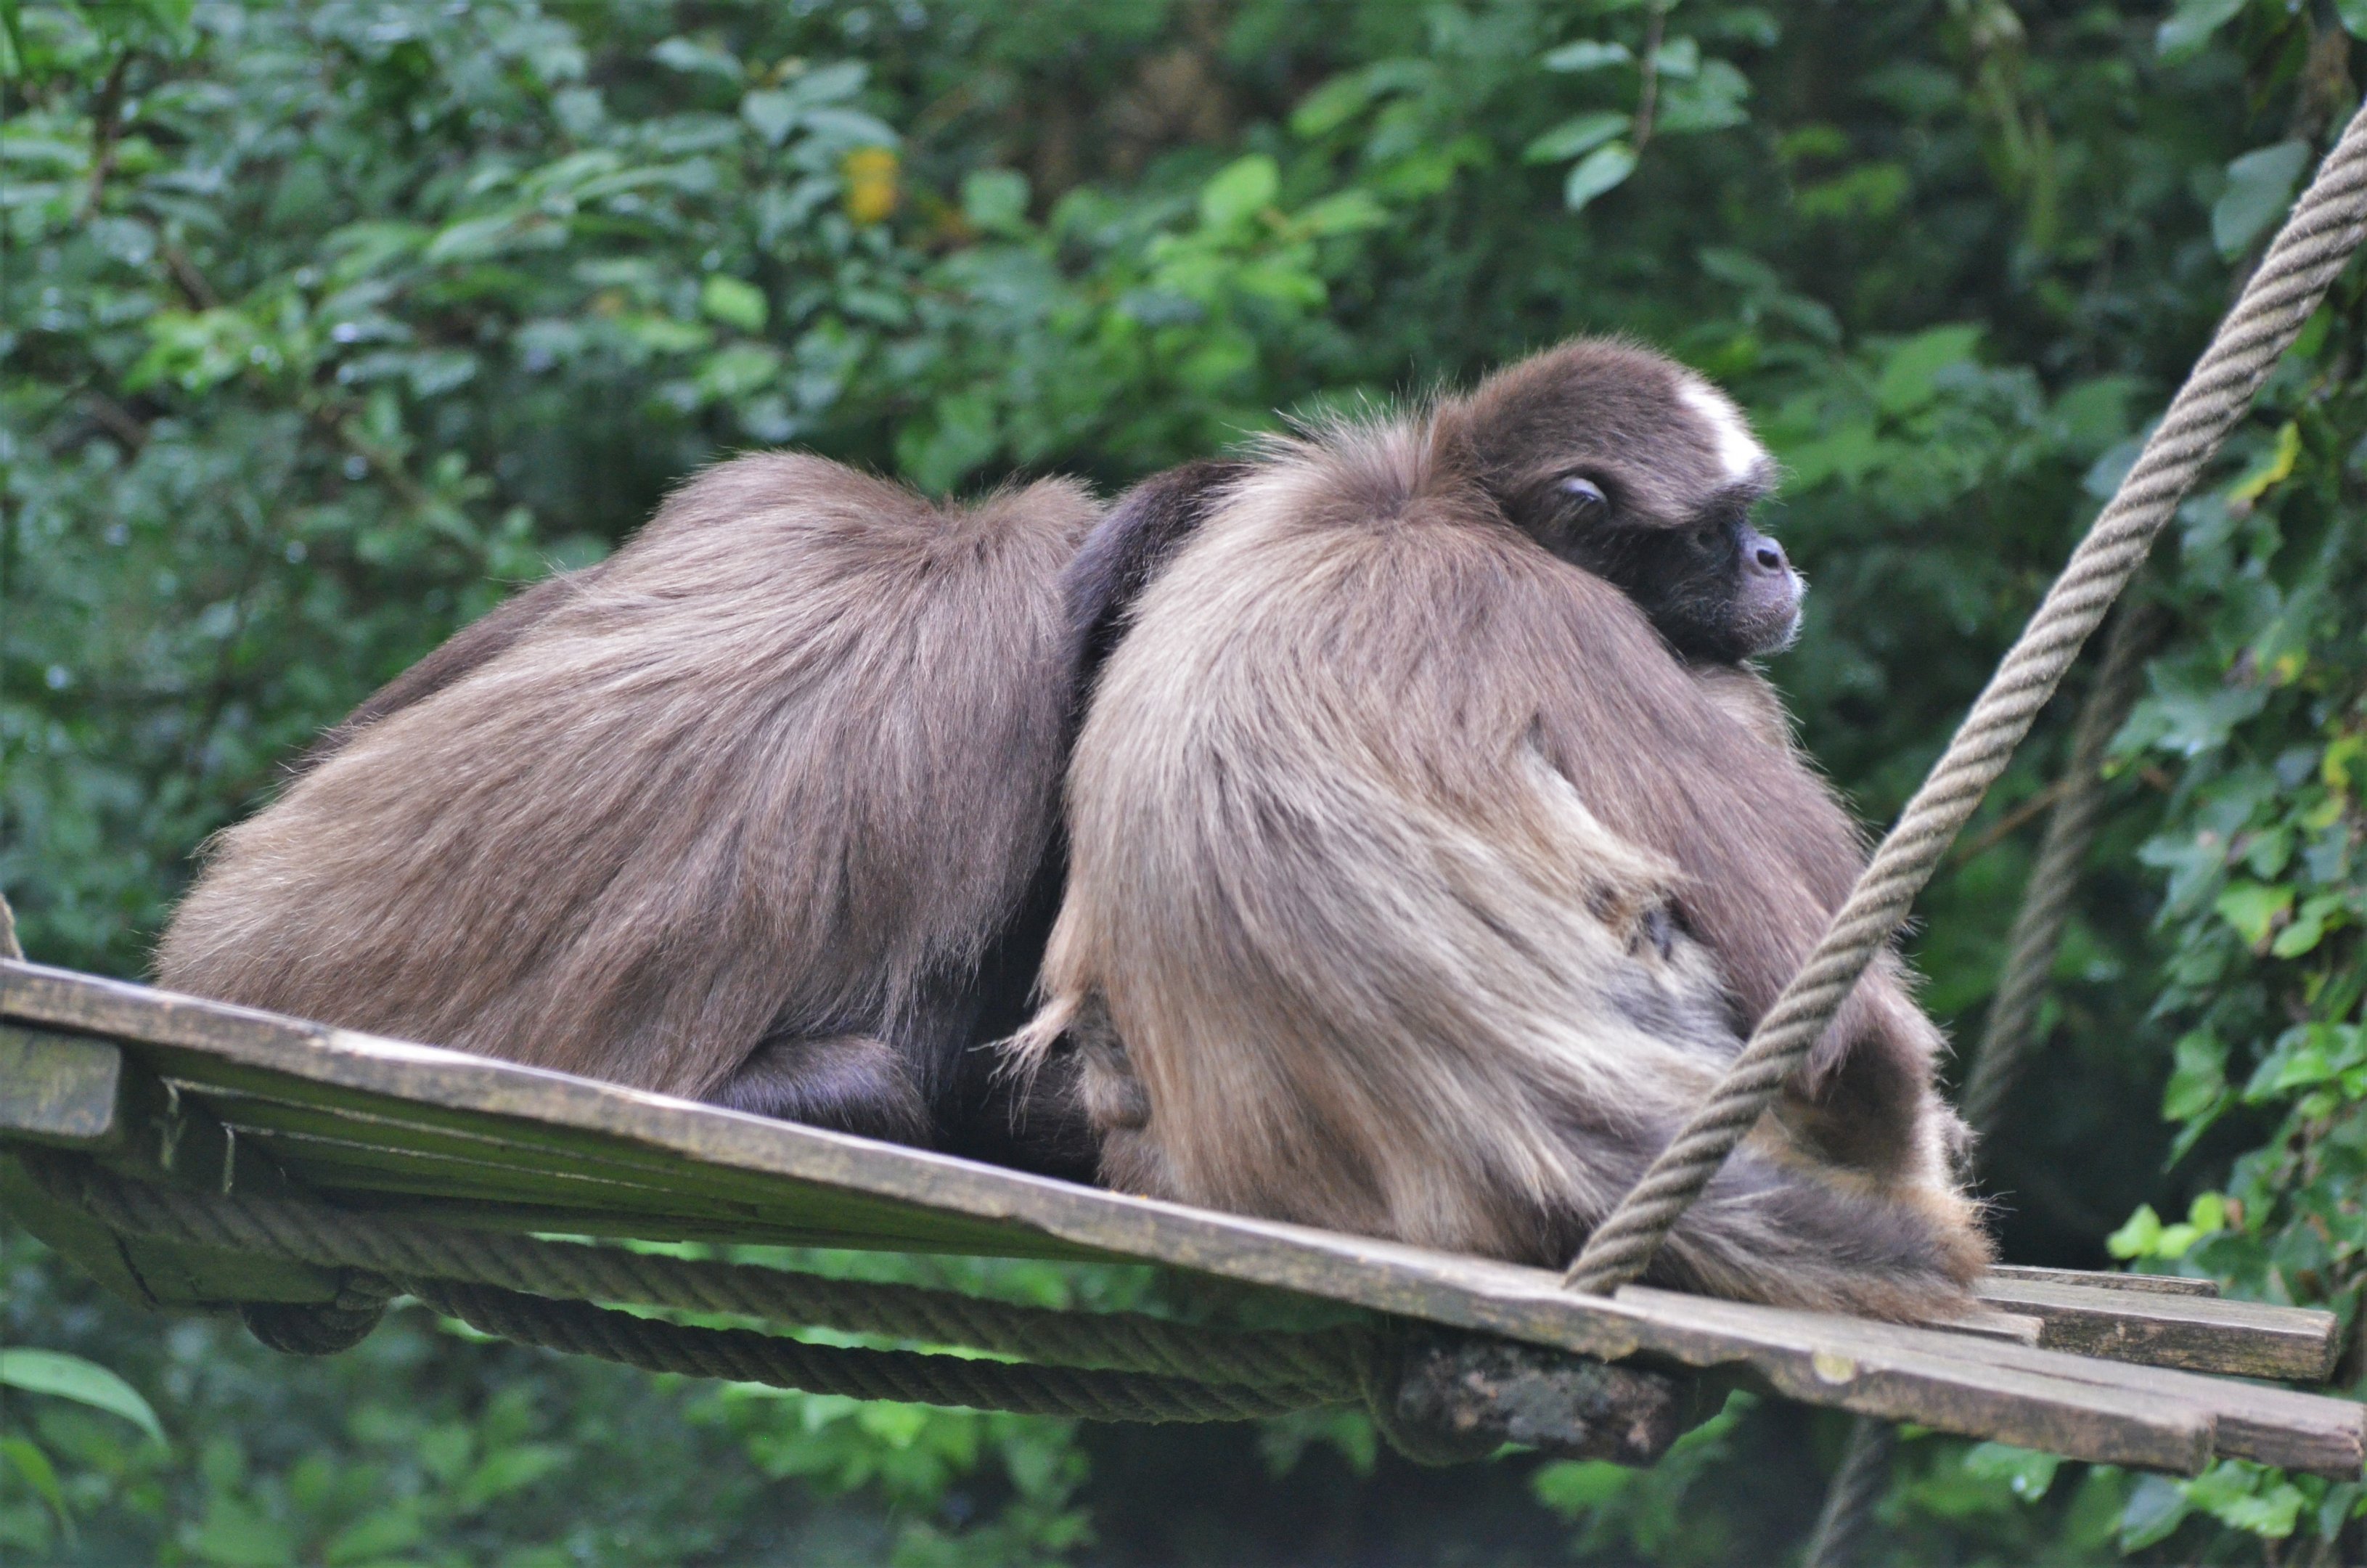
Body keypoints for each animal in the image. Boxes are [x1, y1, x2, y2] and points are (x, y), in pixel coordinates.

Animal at [1010, 338, 1992, 1321]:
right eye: (1713, 532)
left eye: (1748, 522)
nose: (1770, 555)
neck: (1435, 497)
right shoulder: (1561, 614)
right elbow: (1851, 1039)